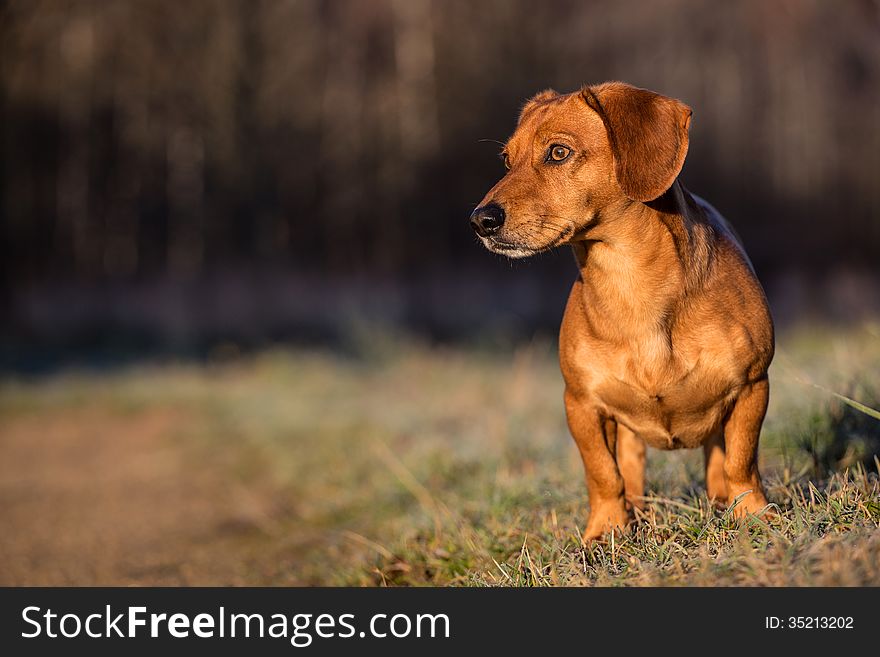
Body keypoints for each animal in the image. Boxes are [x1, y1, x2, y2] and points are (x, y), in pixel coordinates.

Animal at [470, 82, 772, 540]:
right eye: (507, 160)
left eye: (558, 152)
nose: (480, 220)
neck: (630, 282)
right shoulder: (582, 404)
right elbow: (603, 474)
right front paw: (605, 530)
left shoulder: (753, 385)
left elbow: (741, 462)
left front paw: (753, 514)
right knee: (629, 469)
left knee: (718, 458)